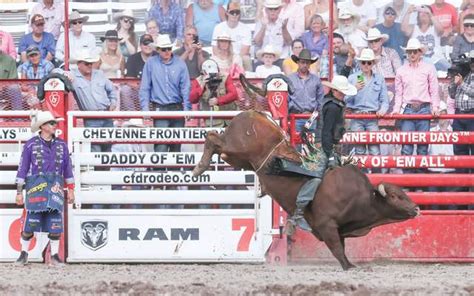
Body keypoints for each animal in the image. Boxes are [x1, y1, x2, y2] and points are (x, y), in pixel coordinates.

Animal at [193, 110, 422, 270]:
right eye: (396, 196)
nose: (417, 209)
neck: (365, 198)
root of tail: (254, 113)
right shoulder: (327, 225)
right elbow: (337, 249)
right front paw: (348, 267)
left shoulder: (339, 229)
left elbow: (341, 248)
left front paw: (350, 264)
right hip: (236, 148)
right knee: (212, 137)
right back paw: (199, 168)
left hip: (239, 159)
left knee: (216, 142)